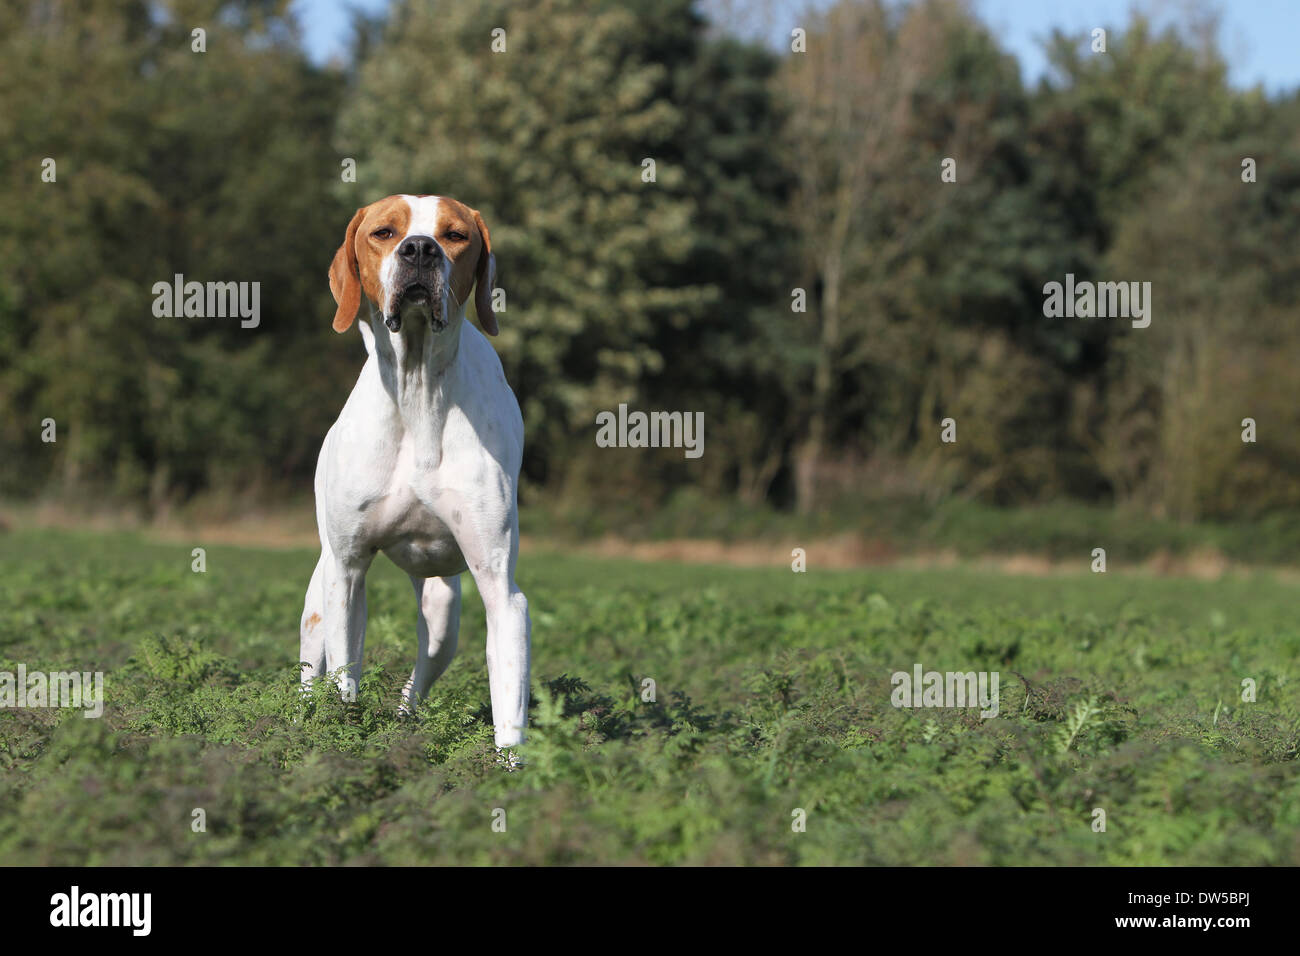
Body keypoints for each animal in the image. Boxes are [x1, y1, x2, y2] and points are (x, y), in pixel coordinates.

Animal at [299, 192, 527, 749]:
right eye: (384, 232)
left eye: (456, 235)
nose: (419, 249)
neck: (417, 390)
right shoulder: (348, 573)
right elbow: (345, 680)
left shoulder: (502, 590)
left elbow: (509, 705)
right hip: (320, 594)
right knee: (312, 672)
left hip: (444, 611)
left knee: (420, 676)